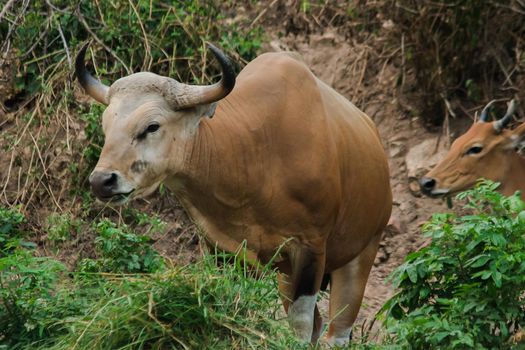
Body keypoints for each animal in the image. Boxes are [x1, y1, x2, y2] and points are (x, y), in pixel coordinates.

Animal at [75, 41, 390, 344]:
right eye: (106, 126)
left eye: (152, 126)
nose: (102, 181)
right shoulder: (223, 252)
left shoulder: (310, 248)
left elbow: (299, 326)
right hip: (286, 275)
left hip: (361, 254)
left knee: (337, 331)